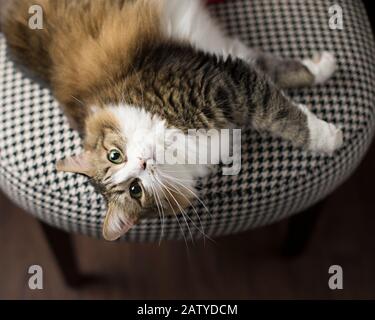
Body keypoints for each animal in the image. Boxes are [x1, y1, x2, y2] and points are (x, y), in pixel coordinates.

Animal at [2, 0, 344, 240]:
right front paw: (330, 137)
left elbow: (282, 81)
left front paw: (324, 66)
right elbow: (284, 112)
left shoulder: (221, 74)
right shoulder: (227, 81)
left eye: (114, 156)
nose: (142, 162)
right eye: (135, 190)